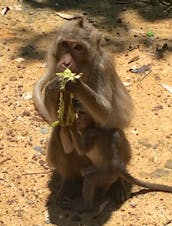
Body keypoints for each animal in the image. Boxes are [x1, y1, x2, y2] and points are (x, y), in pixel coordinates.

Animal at [33, 18, 134, 207]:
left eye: (78, 47)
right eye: (65, 44)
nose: (65, 62)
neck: (84, 67)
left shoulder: (103, 67)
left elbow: (106, 112)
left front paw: (75, 84)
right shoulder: (53, 67)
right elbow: (56, 119)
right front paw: (52, 87)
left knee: (115, 134)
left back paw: (118, 183)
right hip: (80, 165)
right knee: (59, 131)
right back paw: (68, 183)